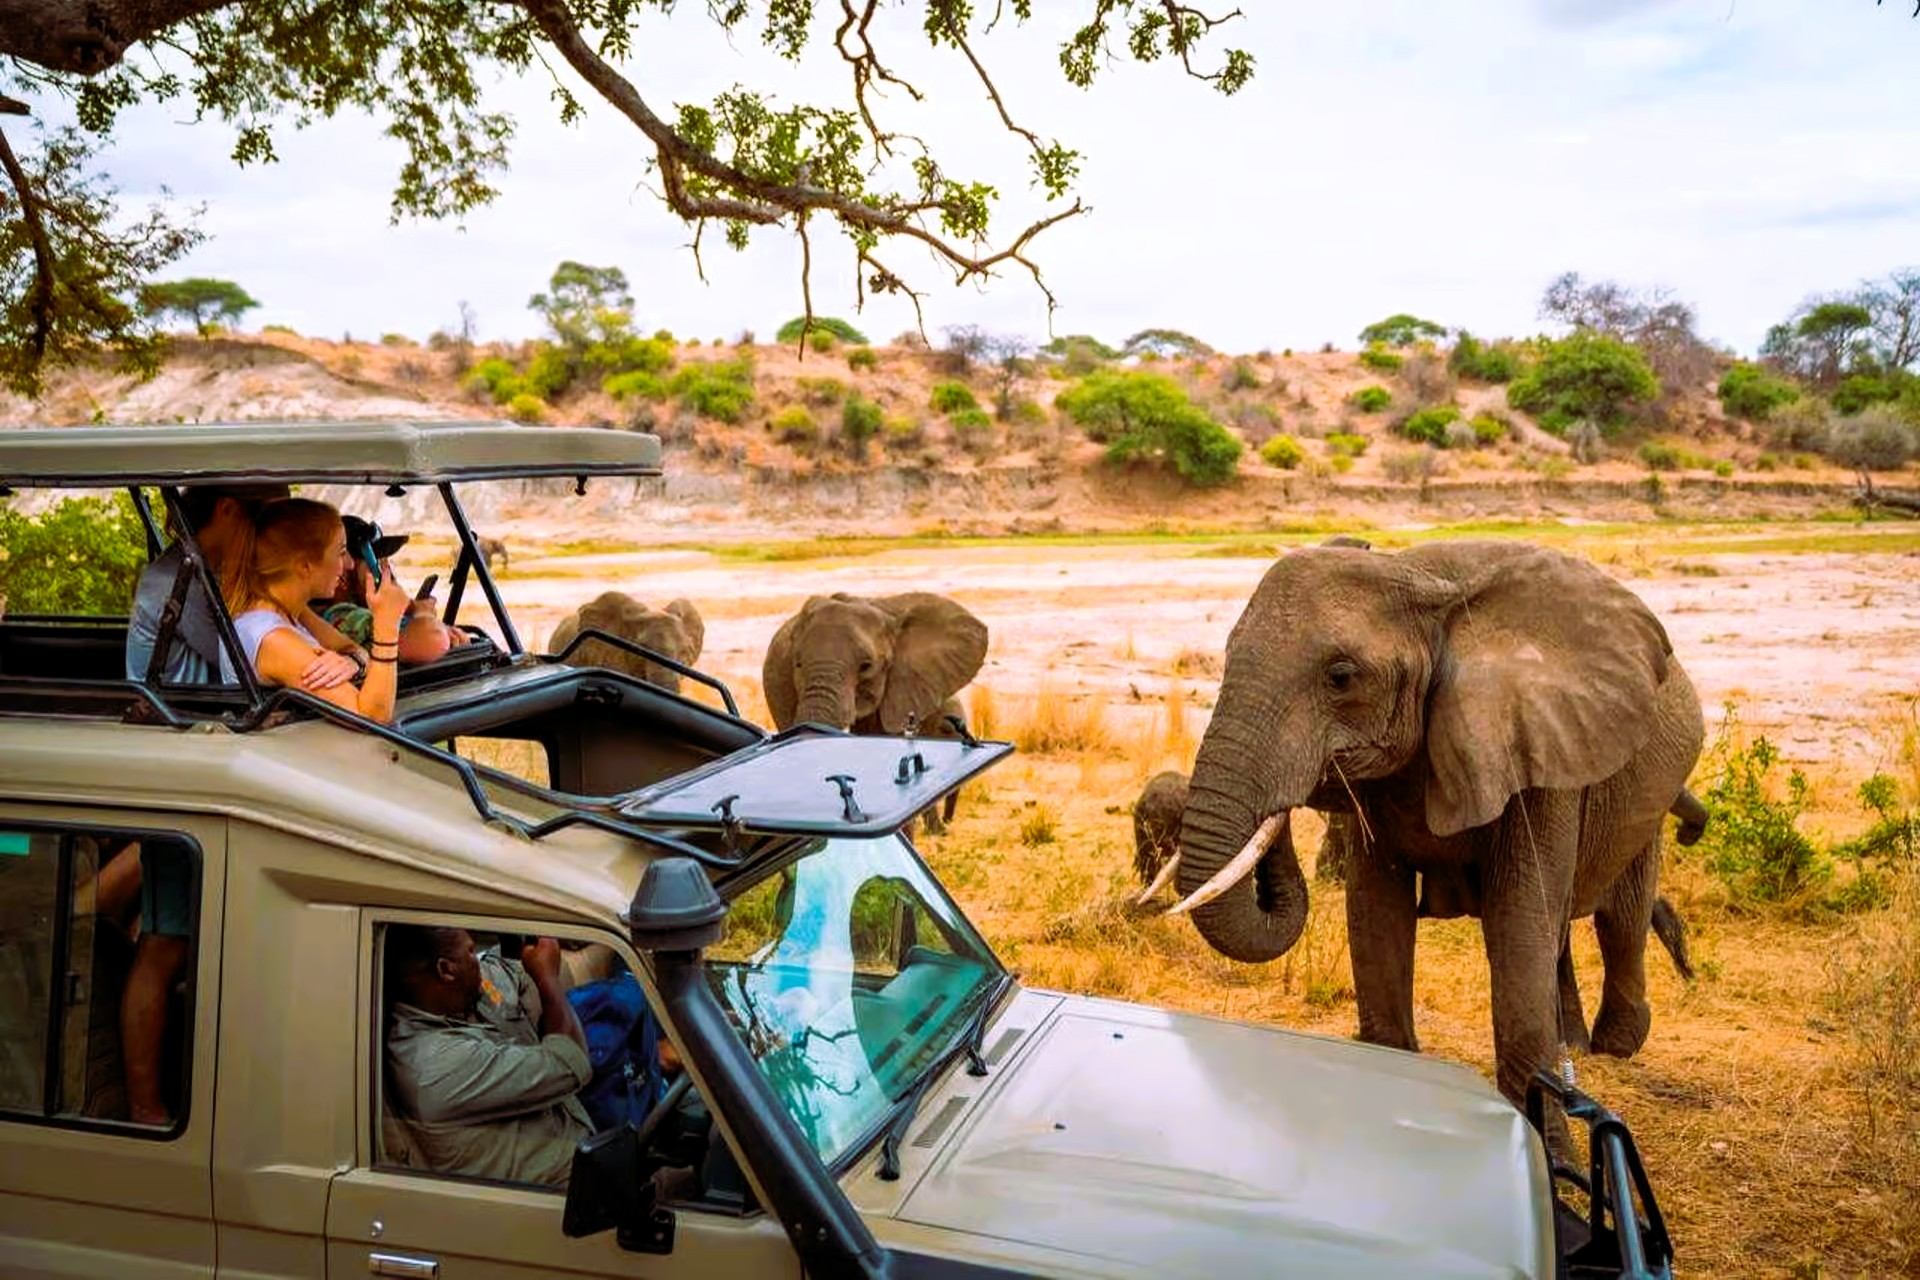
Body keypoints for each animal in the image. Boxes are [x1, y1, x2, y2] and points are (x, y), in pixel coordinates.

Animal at [1166, 539, 1705, 1108]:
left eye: (1341, 677)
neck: (1420, 577)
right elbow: (1377, 914)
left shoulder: (1540, 746)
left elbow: (1517, 921)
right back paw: (1576, 1044)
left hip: (1647, 789)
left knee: (1620, 916)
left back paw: (1615, 1045)